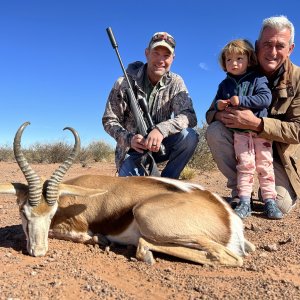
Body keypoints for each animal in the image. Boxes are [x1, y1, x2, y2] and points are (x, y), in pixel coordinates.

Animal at [0, 122, 254, 268]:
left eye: (51, 213)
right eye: (23, 211)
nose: (38, 251)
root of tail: (227, 216)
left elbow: (74, 234)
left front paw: (98, 238)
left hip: (147, 216)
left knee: (228, 257)